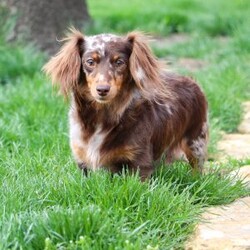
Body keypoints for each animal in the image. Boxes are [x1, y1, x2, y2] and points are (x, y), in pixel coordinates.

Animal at [42, 28, 207, 181]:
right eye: (90, 62)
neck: (103, 116)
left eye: (119, 62)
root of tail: (191, 80)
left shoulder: (139, 162)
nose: (102, 90)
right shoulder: (83, 161)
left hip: (196, 141)